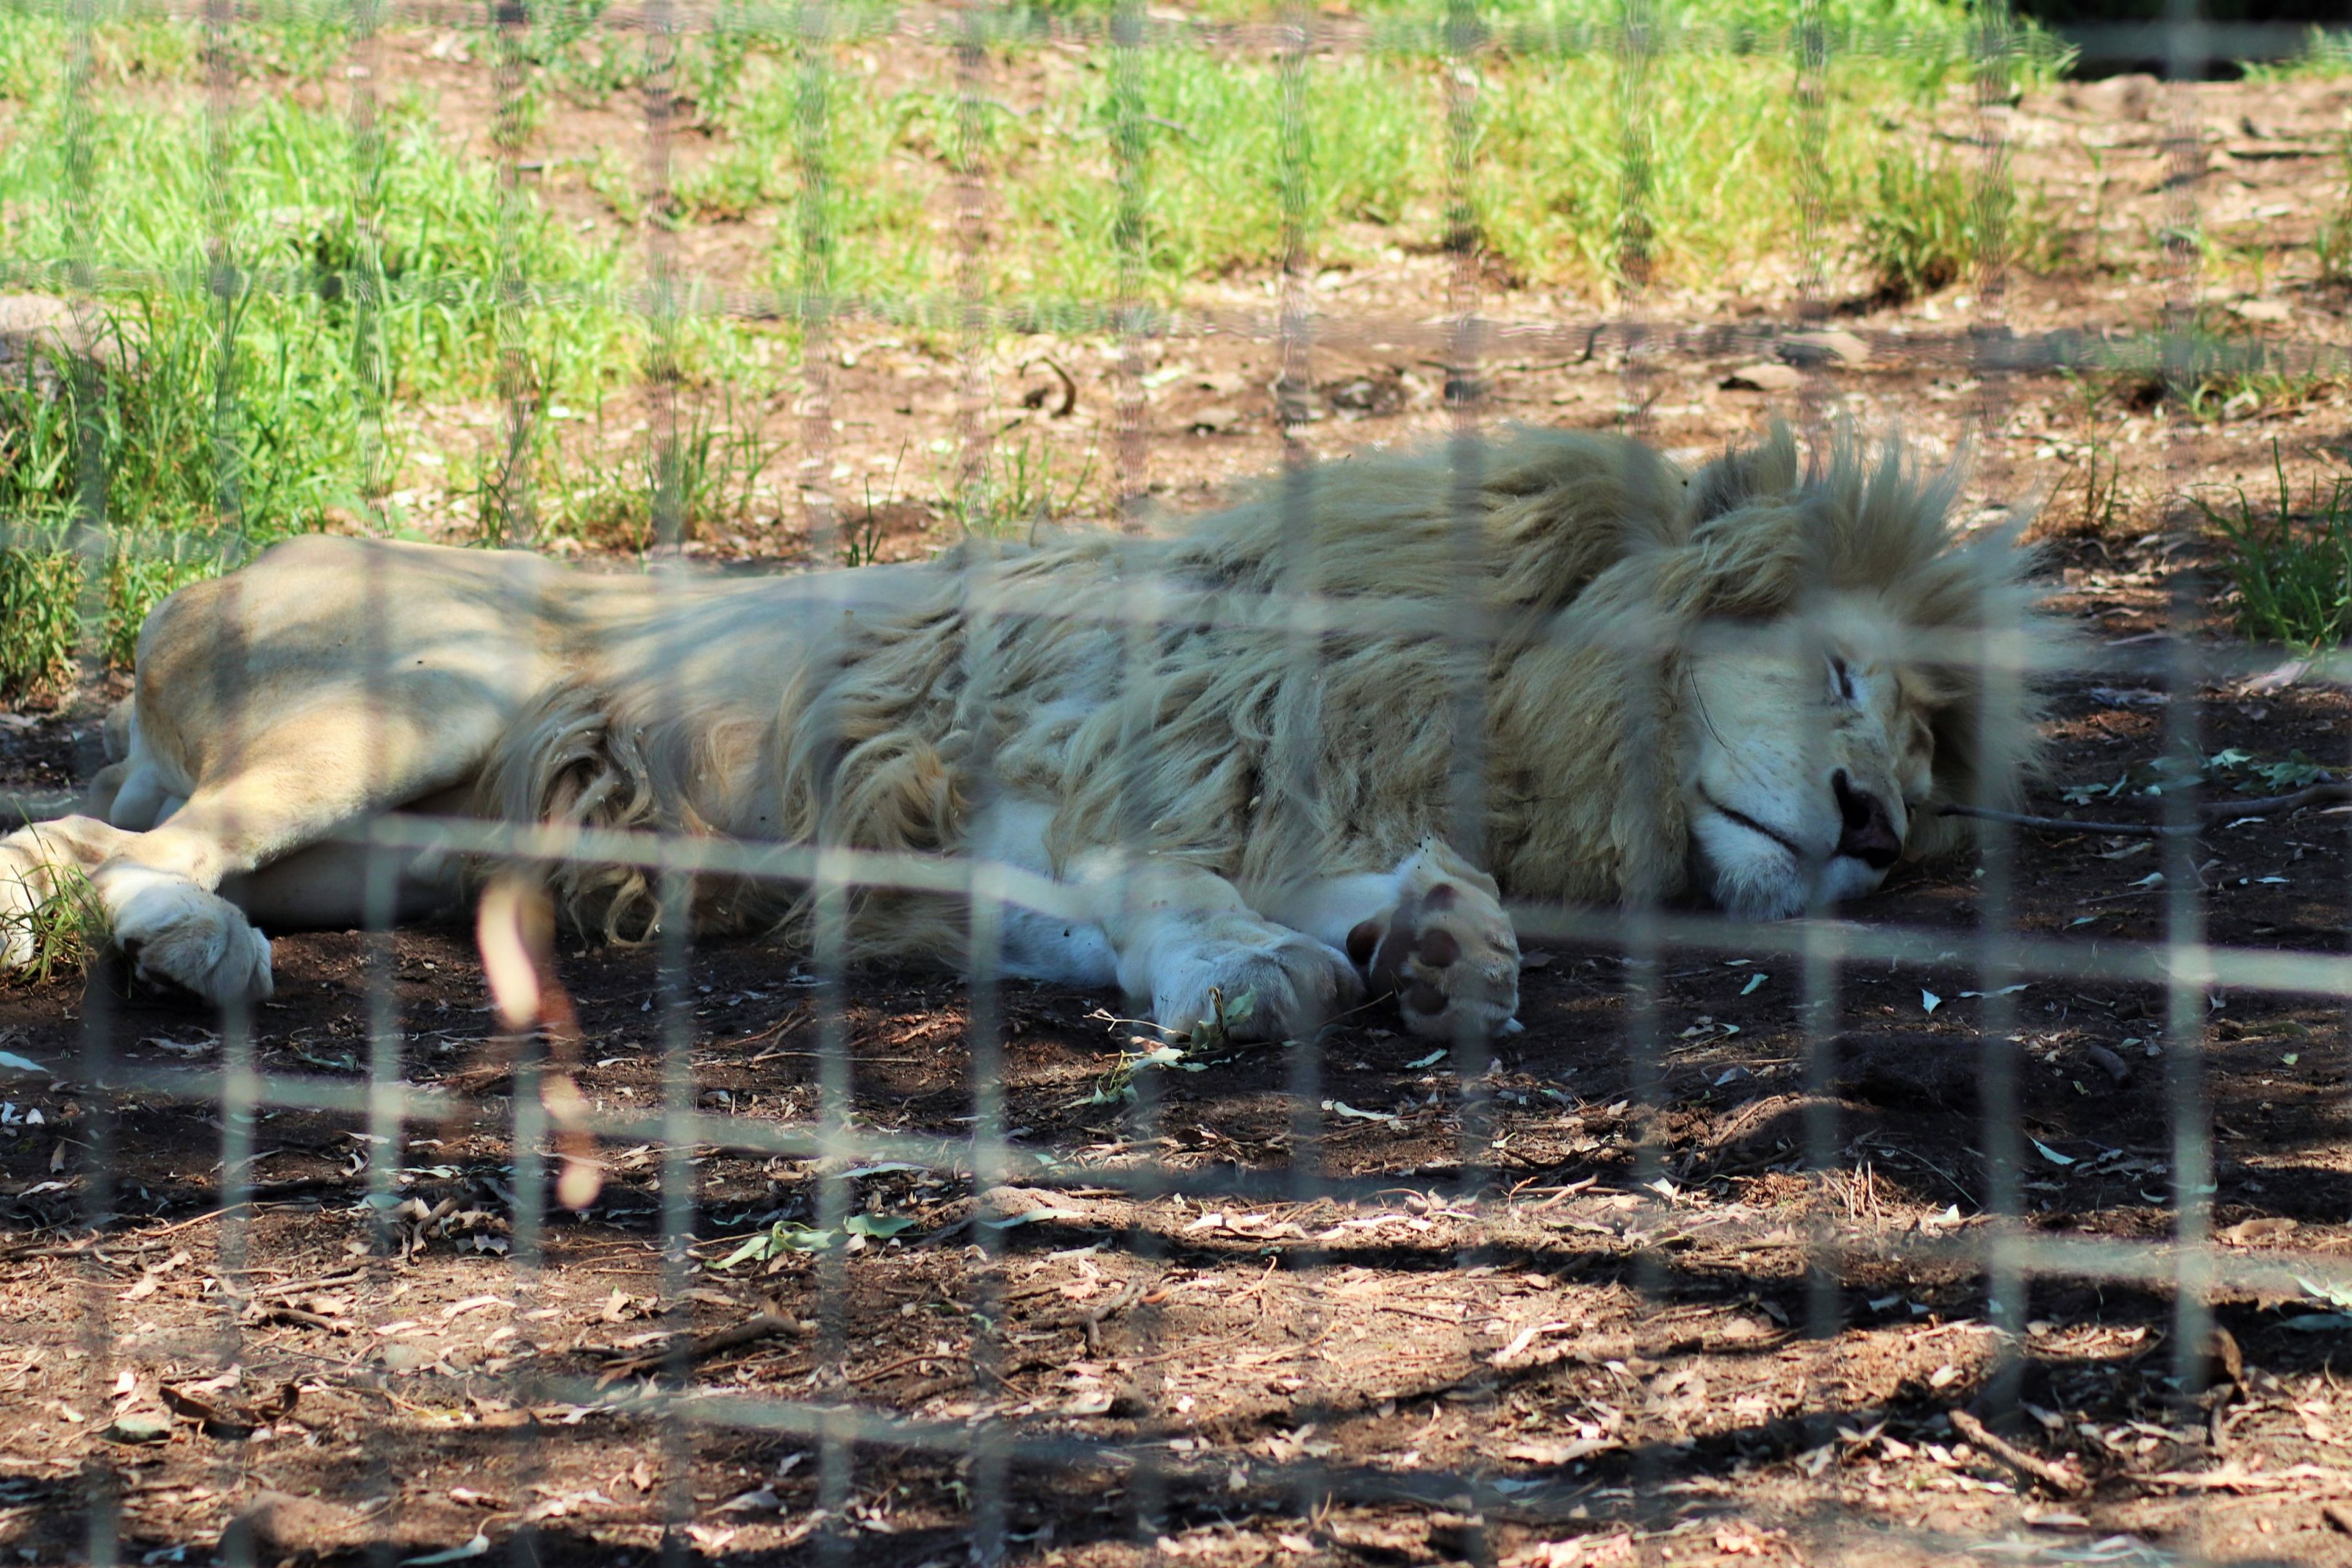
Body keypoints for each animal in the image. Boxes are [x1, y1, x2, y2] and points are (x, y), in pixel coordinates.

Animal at [0, 422, 2047, 1042]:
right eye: (1842, 683)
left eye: (1925, 775)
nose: (1873, 826)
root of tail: (203, 581)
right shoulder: (1070, 790)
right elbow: (1192, 901)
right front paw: (1265, 978)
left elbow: (1352, 892)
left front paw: (1442, 947)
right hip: (431, 689)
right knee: (86, 853)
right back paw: (190, 950)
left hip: (412, 839)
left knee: (94, 848)